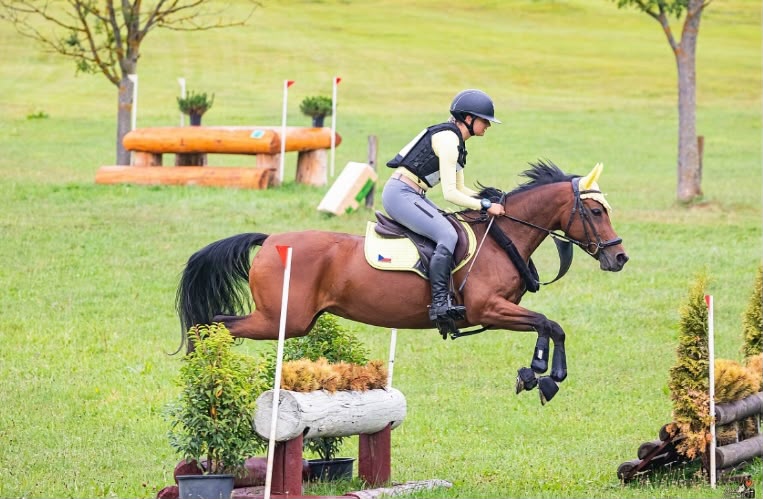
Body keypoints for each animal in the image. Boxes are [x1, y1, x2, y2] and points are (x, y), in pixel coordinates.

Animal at [176, 160, 629, 403]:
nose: (619, 257)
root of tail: (270, 240)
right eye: (595, 211)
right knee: (213, 325)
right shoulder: (489, 309)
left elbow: (551, 326)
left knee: (213, 325)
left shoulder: (501, 311)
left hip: (287, 320)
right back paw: (206, 373)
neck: (502, 238)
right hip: (281, 320)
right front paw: (541, 374)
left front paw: (541, 375)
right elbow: (547, 323)